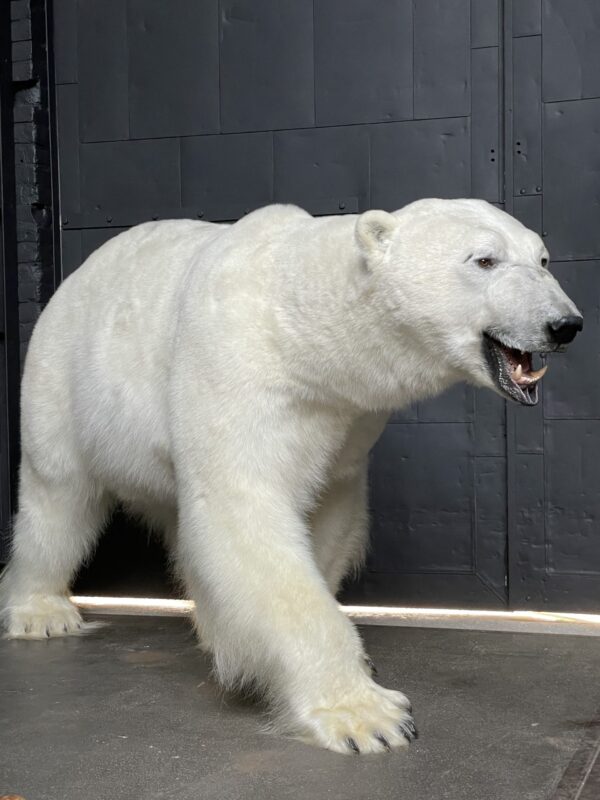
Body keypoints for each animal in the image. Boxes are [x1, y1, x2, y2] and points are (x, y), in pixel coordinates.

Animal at [0, 197, 580, 752]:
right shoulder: (236, 370)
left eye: (542, 259)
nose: (565, 324)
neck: (301, 328)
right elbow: (243, 512)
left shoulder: (345, 419)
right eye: (483, 260)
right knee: (57, 497)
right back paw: (41, 611)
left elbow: (326, 514)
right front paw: (367, 716)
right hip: (64, 377)